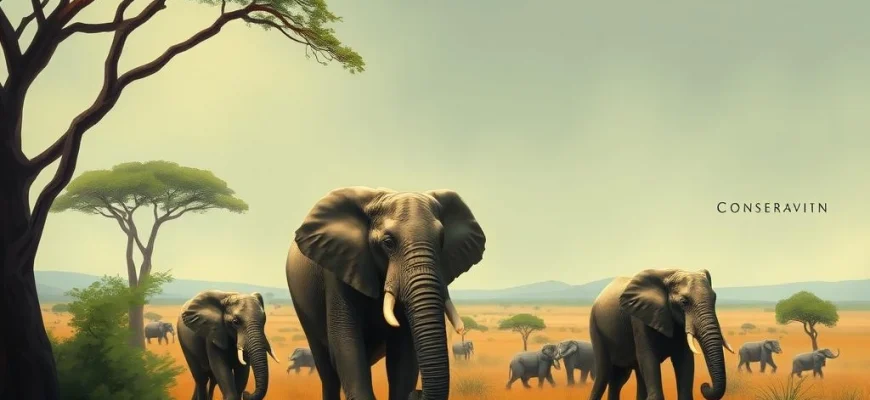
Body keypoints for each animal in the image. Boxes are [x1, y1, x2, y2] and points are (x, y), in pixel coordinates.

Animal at [285, 187, 486, 400]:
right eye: (388, 242)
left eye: (441, 241)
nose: (417, 392)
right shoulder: (338, 270)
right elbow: (347, 346)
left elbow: (403, 356)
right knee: (327, 372)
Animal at [588, 268, 734, 400]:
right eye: (684, 302)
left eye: (714, 299)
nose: (704, 386)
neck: (670, 274)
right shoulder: (640, 317)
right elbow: (648, 356)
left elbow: (684, 360)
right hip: (595, 327)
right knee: (604, 375)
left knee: (621, 378)